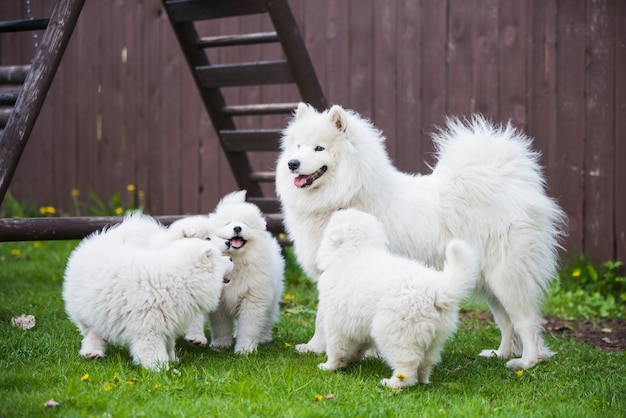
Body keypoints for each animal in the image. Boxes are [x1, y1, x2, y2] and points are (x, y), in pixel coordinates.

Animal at [62, 230, 233, 370]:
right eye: (220, 257)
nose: (231, 258)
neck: (178, 280)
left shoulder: (168, 322)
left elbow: (169, 344)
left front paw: (173, 360)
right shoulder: (148, 328)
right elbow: (153, 352)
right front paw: (161, 370)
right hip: (87, 312)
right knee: (92, 333)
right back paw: (92, 352)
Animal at [184, 191, 284, 354]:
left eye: (246, 224)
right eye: (228, 223)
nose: (237, 228)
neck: (235, 262)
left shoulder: (252, 299)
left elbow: (248, 328)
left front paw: (245, 349)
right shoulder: (219, 304)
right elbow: (221, 326)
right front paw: (221, 345)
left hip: (272, 298)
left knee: (267, 320)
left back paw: (263, 338)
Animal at [276, 103, 568, 370]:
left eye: (319, 148)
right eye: (298, 146)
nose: (292, 164)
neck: (346, 194)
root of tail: (513, 182)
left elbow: (325, 317)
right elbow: (321, 317)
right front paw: (314, 347)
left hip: (507, 277)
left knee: (526, 321)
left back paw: (527, 362)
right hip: (490, 283)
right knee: (506, 322)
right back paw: (501, 353)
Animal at [314, 209, 480, 388]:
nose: (338, 209)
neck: (355, 252)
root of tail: (436, 290)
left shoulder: (336, 322)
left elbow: (336, 347)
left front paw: (329, 366)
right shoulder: (357, 323)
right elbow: (357, 346)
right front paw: (352, 360)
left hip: (394, 333)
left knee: (408, 364)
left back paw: (393, 383)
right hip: (434, 338)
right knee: (425, 362)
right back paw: (423, 380)